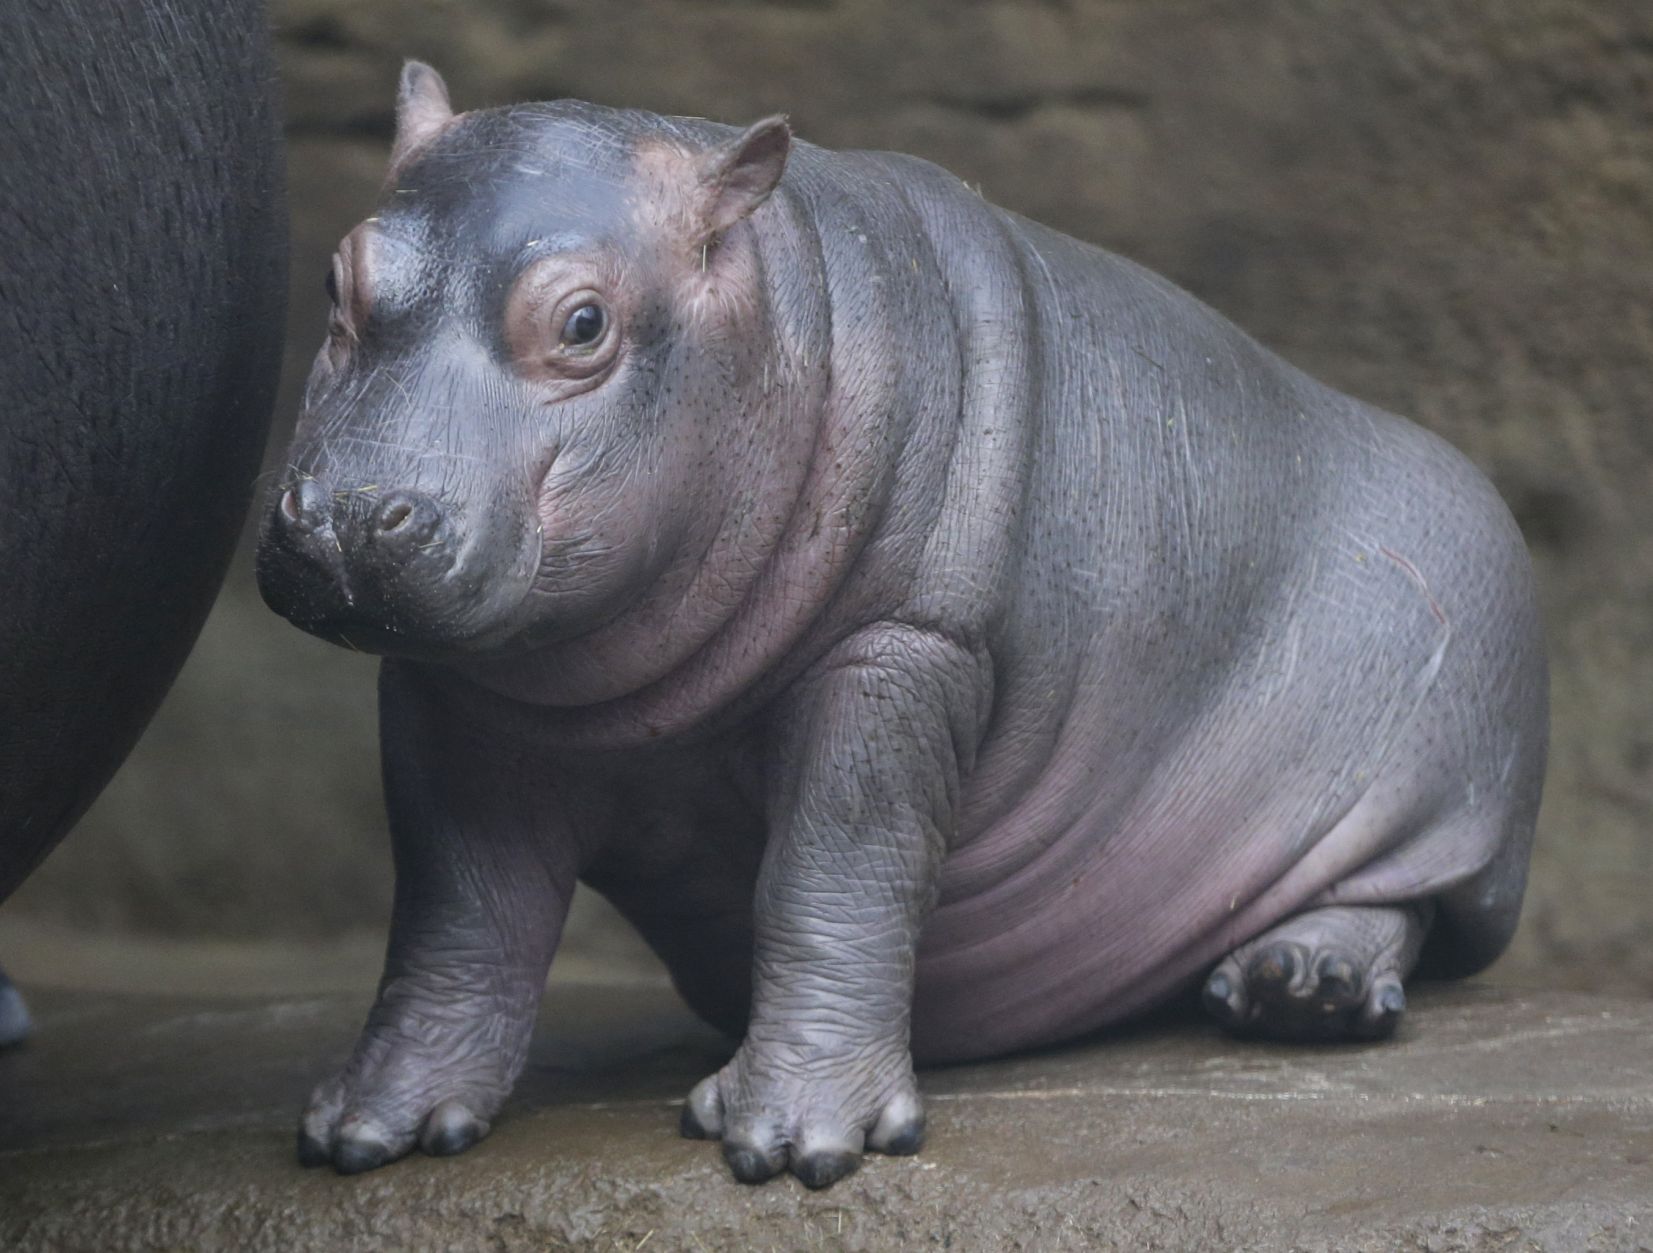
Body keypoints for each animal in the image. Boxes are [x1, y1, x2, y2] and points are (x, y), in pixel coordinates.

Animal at [257, 63, 1547, 1190]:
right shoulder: (448, 693)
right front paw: (364, 1124)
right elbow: (458, 911)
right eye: (332, 280)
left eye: (582, 322)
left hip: (1449, 772)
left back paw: (1302, 985)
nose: (346, 516)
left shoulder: (903, 646)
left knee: (1411, 901)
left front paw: (792, 1143)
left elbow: (837, 872)